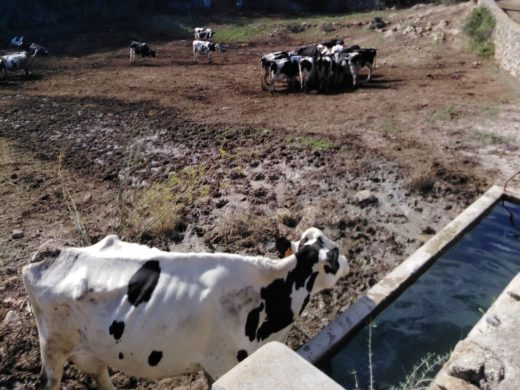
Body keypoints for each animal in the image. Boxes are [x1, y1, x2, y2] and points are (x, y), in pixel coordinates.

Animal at [23, 227, 350, 388]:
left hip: (90, 348)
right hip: (52, 349)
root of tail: (50, 255)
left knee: (100, 374)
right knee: (50, 383)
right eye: (334, 256)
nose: (349, 261)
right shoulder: (222, 364)